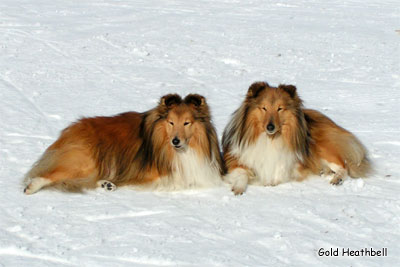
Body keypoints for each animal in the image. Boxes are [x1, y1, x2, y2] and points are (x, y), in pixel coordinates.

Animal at [23, 94, 223, 195]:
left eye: (187, 123)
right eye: (171, 122)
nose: (175, 141)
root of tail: (70, 129)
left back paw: (107, 184)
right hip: (85, 161)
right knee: (47, 174)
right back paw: (31, 187)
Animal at [222, 81, 372, 195]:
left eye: (280, 108)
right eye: (264, 108)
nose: (270, 127)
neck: (270, 140)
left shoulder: (291, 162)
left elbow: (280, 172)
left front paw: (269, 181)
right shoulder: (236, 160)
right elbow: (242, 173)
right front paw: (239, 188)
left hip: (323, 148)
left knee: (344, 166)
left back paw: (336, 179)